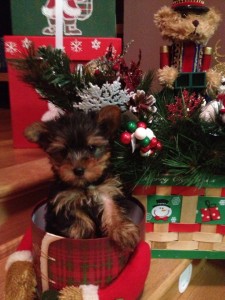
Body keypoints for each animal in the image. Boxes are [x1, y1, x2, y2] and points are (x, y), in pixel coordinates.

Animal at [25, 105, 141, 251]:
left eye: (91, 148)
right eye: (63, 152)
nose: (78, 170)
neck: (85, 185)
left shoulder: (107, 191)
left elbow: (112, 209)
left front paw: (124, 231)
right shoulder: (63, 201)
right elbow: (78, 218)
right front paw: (83, 236)